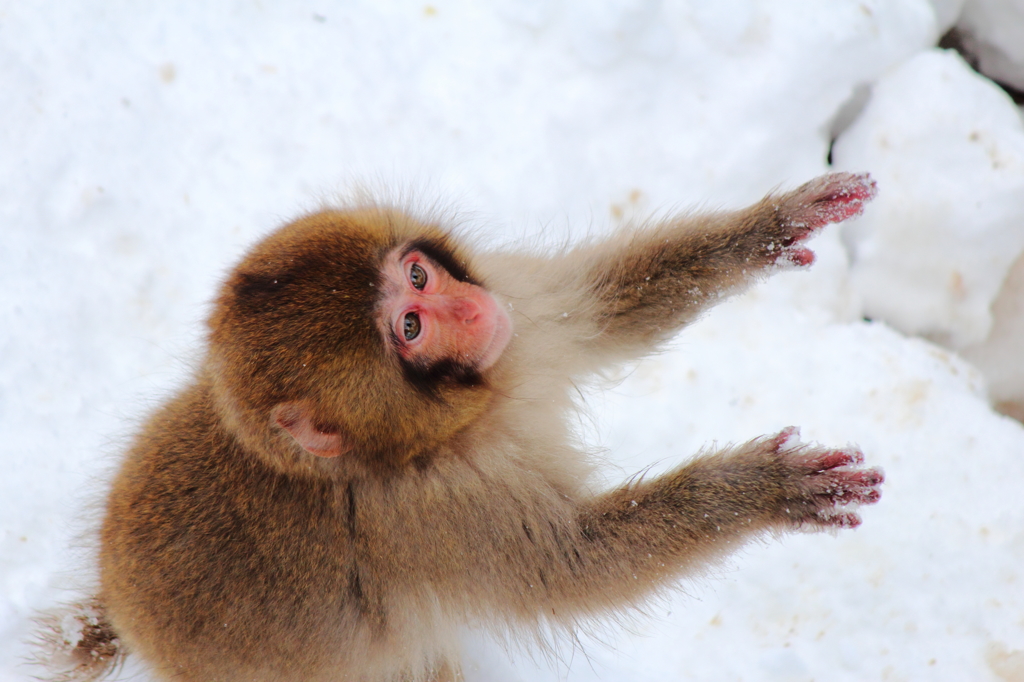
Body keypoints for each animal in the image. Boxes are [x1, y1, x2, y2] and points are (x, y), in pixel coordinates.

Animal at [39, 173, 884, 679]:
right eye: (410, 328)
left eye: (418, 275)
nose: (471, 311)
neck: (420, 441)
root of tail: (122, 617)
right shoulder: (434, 515)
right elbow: (580, 567)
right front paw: (759, 491)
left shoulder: (518, 317)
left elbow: (603, 307)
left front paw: (771, 226)